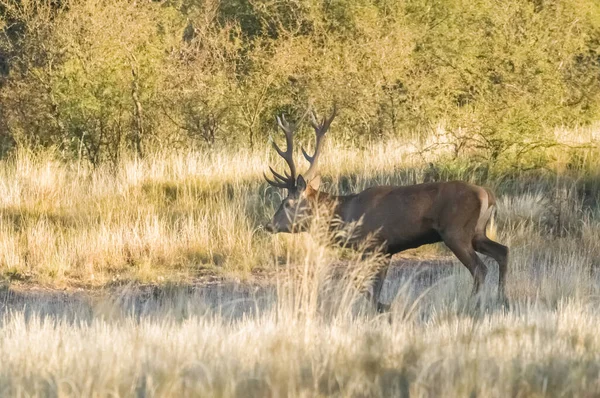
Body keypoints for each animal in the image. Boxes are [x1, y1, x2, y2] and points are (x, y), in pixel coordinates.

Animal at [264, 108, 508, 310]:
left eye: (287, 203)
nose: (269, 225)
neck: (347, 217)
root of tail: (486, 193)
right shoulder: (386, 250)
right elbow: (372, 287)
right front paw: (383, 308)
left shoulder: (374, 245)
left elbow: (362, 285)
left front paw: (386, 307)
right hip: (477, 232)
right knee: (502, 251)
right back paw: (501, 298)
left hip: (455, 231)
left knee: (480, 268)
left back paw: (473, 302)